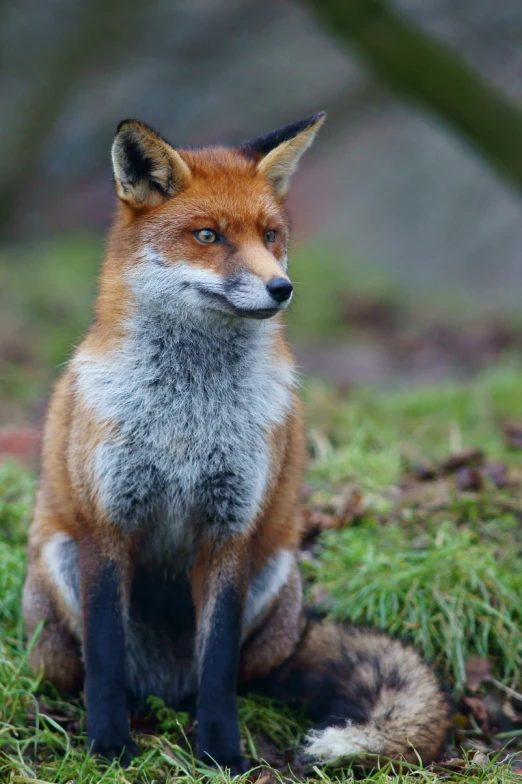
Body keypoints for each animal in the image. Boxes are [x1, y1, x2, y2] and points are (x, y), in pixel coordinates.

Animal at [22, 113, 448, 776]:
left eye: (270, 235)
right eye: (208, 235)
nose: (282, 288)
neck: (187, 415)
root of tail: (165, 685)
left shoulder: (230, 530)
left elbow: (219, 667)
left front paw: (221, 753)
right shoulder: (108, 523)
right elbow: (107, 659)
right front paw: (109, 746)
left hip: (274, 574)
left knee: (232, 679)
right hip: (59, 574)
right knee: (98, 670)